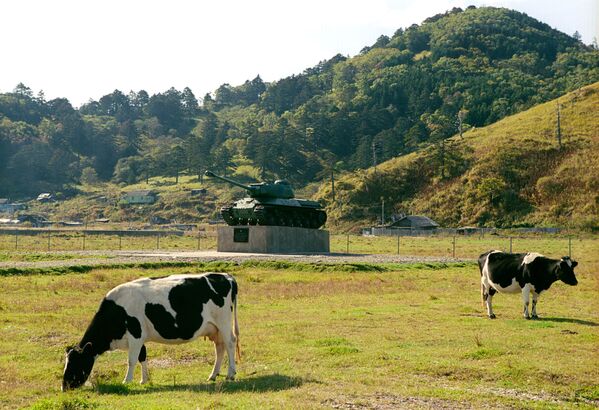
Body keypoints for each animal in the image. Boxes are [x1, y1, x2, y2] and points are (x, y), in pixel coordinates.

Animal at [61, 272, 239, 390]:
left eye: (76, 363)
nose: (64, 387)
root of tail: (225, 276)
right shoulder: (140, 338)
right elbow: (142, 357)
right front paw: (144, 380)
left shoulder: (135, 335)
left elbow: (131, 360)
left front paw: (127, 381)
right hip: (214, 328)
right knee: (220, 348)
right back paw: (213, 375)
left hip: (223, 322)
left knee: (230, 343)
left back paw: (230, 374)